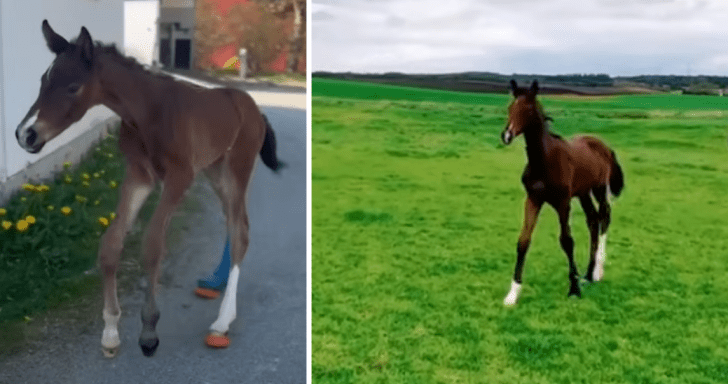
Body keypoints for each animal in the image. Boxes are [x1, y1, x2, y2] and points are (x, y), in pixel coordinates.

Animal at [14, 21, 282, 356]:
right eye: (42, 81)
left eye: (73, 86)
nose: (26, 134)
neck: (148, 112)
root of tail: (255, 109)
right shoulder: (139, 176)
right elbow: (110, 244)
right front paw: (111, 331)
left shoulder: (180, 177)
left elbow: (153, 246)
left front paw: (149, 332)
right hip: (215, 170)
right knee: (232, 224)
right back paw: (214, 284)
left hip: (238, 168)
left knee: (241, 231)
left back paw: (222, 322)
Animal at [504, 80, 624, 306]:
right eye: (510, 108)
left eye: (528, 109)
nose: (506, 135)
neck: (544, 160)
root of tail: (605, 146)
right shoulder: (533, 199)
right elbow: (523, 241)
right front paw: (512, 293)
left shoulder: (563, 202)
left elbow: (567, 241)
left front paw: (574, 288)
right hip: (584, 192)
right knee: (593, 220)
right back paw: (588, 274)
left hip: (599, 188)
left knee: (605, 216)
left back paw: (598, 271)